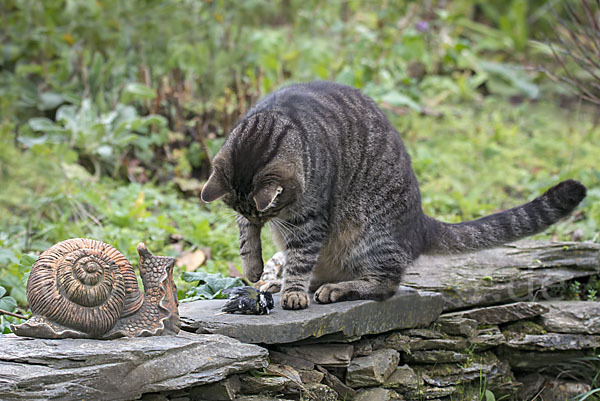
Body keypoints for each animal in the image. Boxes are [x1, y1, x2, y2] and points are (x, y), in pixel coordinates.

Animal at [202, 81, 584, 310]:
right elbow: (246, 239)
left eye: (268, 211)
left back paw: (333, 288)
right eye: (251, 215)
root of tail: (420, 225)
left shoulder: (309, 220)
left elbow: (299, 258)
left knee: (386, 284)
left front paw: (293, 290)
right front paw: (253, 266)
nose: (261, 218)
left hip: (370, 236)